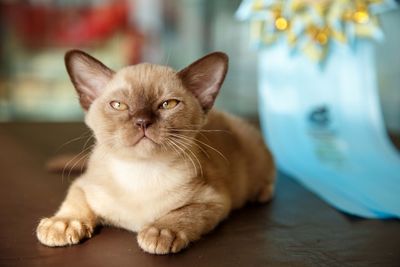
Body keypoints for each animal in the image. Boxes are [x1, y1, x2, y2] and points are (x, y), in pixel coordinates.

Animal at [36, 50, 276, 255]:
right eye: (118, 105)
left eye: (168, 104)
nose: (143, 121)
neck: (140, 172)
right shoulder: (83, 184)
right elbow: (74, 203)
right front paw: (61, 224)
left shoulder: (213, 201)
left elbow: (182, 214)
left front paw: (160, 233)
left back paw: (260, 193)